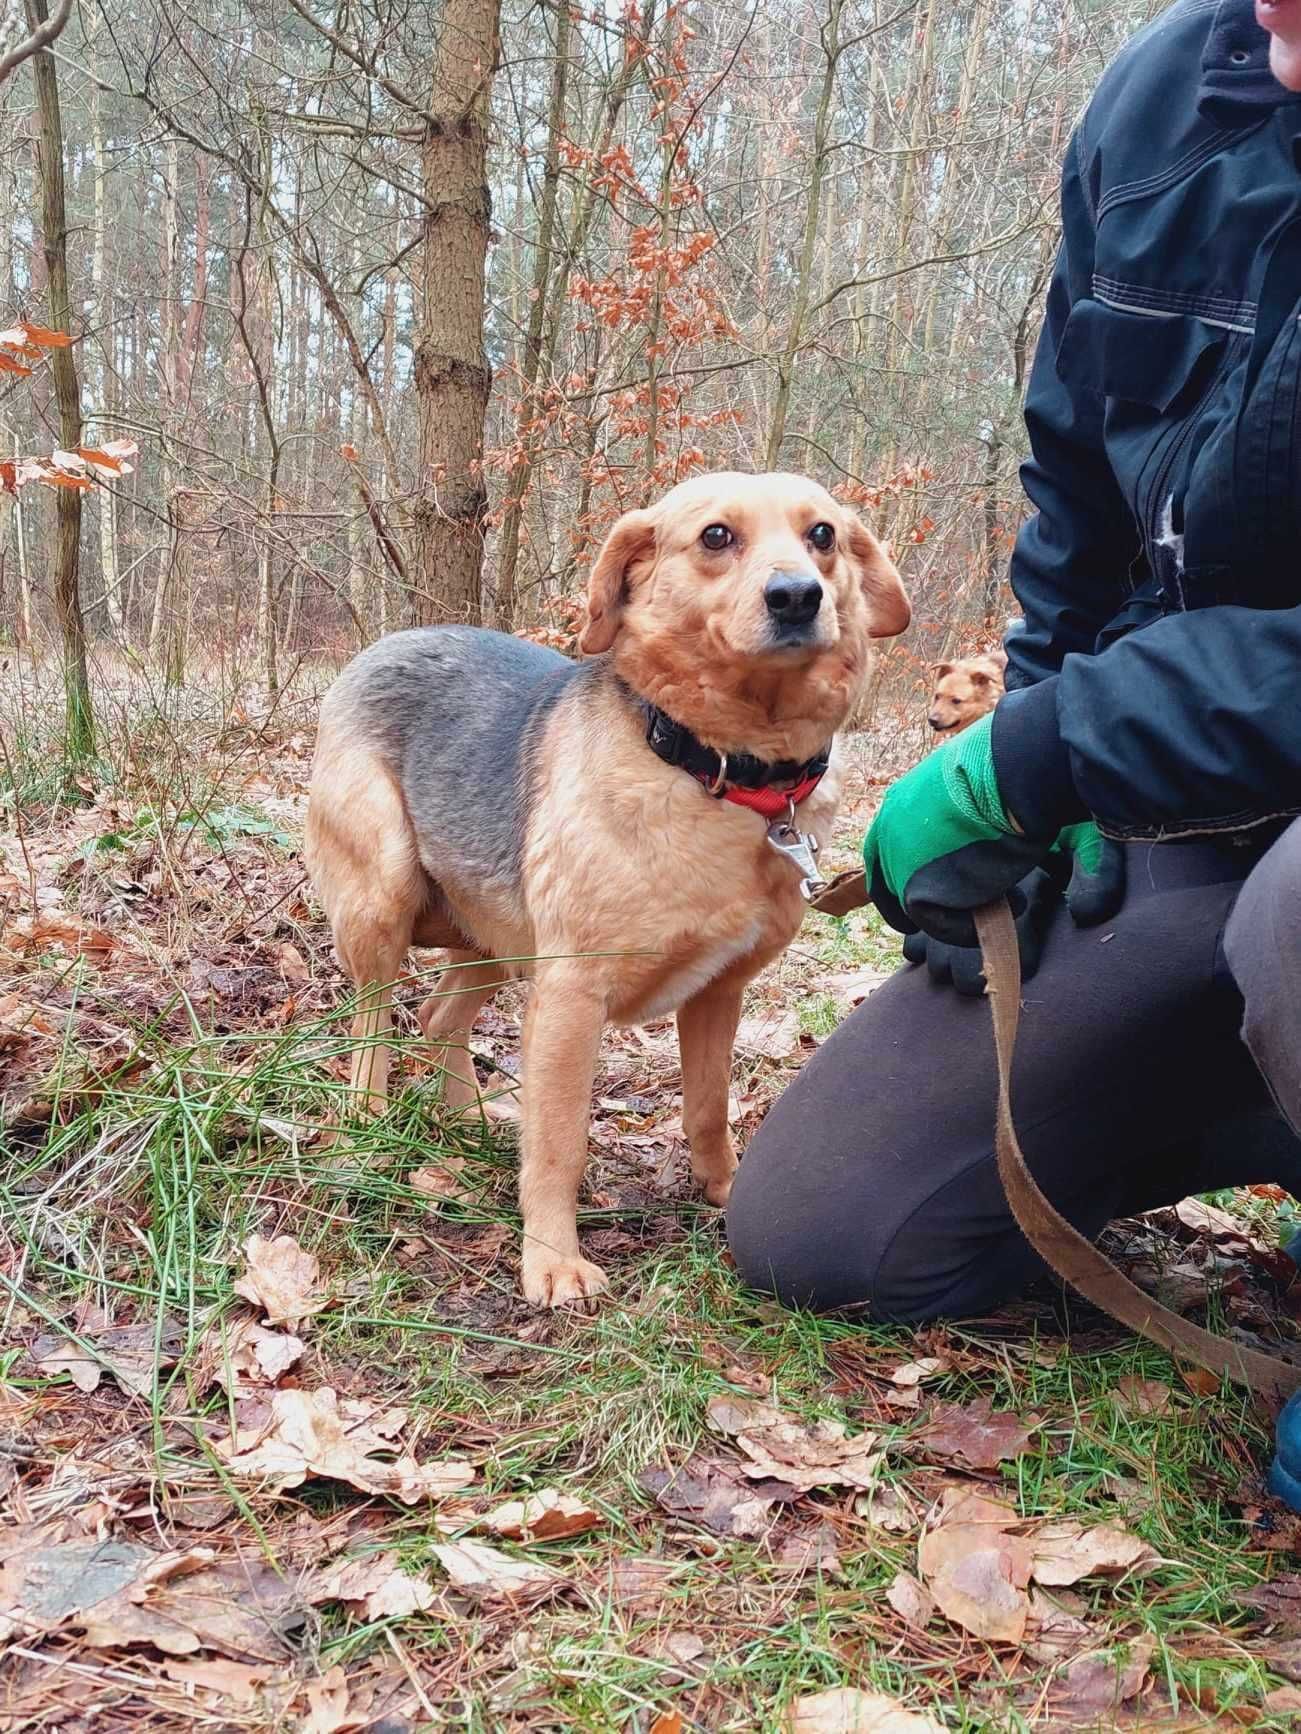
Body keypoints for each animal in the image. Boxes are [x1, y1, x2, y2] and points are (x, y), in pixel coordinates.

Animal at [307, 468, 908, 1303]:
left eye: (820, 535)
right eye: (716, 536)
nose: (796, 596)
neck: (722, 773)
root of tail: (385, 643)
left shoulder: (717, 994)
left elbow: (707, 1109)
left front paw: (725, 1191)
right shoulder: (569, 995)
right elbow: (559, 1141)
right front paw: (551, 1259)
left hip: (495, 940)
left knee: (437, 1016)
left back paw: (469, 1120)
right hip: (385, 897)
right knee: (374, 1027)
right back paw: (367, 1126)